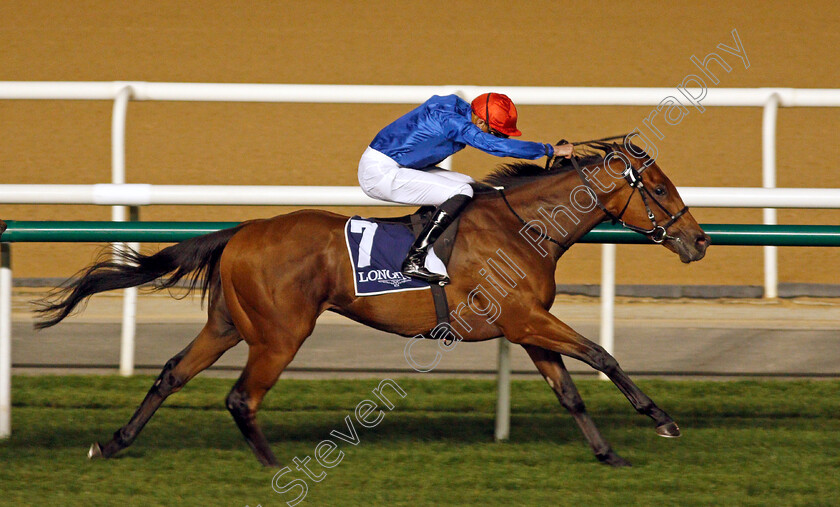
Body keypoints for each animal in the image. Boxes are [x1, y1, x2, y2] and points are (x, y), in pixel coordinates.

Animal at [37, 140, 708, 468]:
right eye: (659, 187)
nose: (698, 240)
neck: (524, 228)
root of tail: (242, 230)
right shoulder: (527, 318)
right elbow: (601, 353)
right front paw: (661, 419)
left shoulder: (524, 326)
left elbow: (570, 391)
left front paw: (608, 453)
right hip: (280, 333)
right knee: (241, 396)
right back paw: (271, 464)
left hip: (229, 324)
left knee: (172, 373)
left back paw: (114, 443)